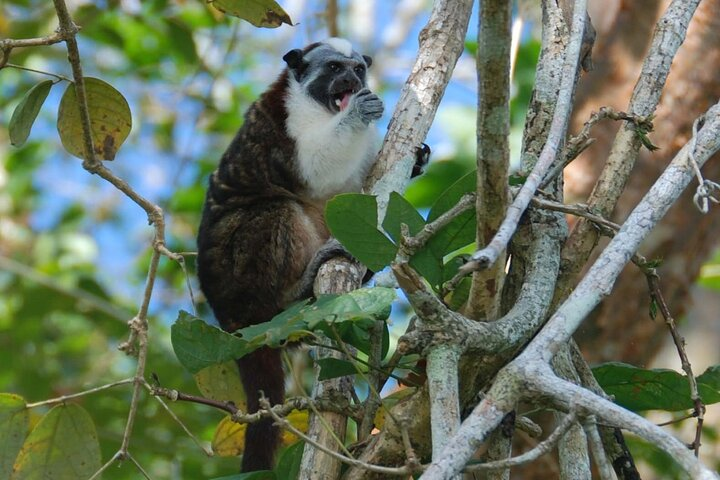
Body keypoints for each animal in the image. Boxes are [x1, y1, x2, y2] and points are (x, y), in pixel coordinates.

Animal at [197, 38, 386, 472]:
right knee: (276, 209)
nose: (351, 82)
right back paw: (299, 289)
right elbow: (316, 169)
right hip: (239, 279)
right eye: (334, 69)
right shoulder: (287, 124)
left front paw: (418, 159)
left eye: (357, 69)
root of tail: (229, 318)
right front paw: (358, 115)